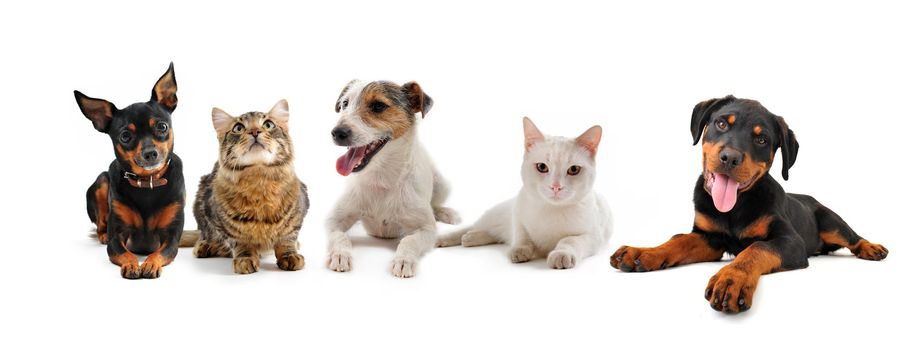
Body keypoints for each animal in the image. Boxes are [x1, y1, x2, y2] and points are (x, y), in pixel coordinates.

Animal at [192, 98, 310, 274]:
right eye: (238, 128)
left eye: (268, 124)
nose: (255, 131)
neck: (259, 180)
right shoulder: (220, 219)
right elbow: (240, 242)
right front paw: (245, 258)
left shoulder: (298, 212)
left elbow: (287, 239)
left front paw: (289, 255)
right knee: (206, 234)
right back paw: (205, 246)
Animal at [436, 117, 612, 268]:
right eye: (542, 167)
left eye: (574, 169)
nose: (556, 186)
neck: (551, 209)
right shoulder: (518, 216)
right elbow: (522, 236)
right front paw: (520, 250)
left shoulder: (592, 237)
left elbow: (569, 241)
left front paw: (561, 254)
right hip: (494, 216)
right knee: (473, 227)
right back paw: (445, 238)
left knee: (492, 234)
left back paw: (470, 238)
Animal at [616, 95, 888, 312]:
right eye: (721, 123)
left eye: (762, 140)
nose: (730, 157)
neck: (735, 207)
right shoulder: (708, 237)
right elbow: (679, 240)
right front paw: (643, 253)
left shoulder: (791, 241)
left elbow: (756, 249)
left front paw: (731, 281)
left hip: (831, 221)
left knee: (852, 237)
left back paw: (872, 248)